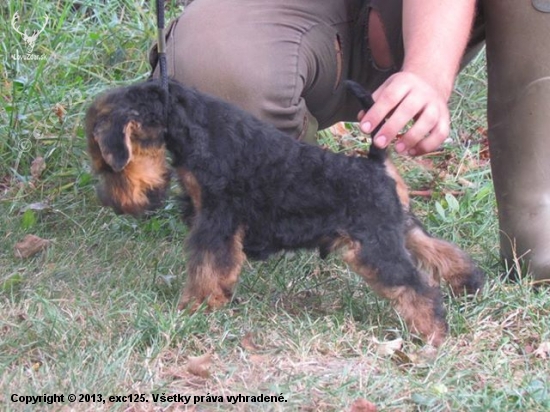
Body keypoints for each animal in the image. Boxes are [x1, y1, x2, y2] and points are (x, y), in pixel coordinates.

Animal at [84, 79, 486, 346]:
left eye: (107, 159)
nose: (111, 200)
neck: (197, 129)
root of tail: (376, 161)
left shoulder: (216, 222)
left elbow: (205, 266)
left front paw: (195, 307)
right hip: (401, 228)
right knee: (442, 254)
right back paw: (469, 284)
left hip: (375, 247)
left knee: (419, 288)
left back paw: (433, 333)